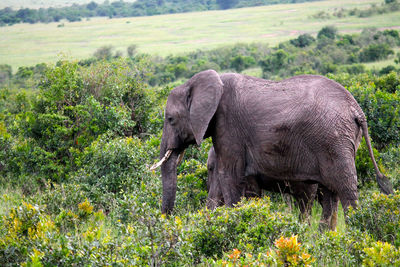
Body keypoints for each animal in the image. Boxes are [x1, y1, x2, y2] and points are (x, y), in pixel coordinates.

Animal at [152, 69, 392, 228]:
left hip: (334, 140)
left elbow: (229, 176)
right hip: (338, 141)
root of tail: (357, 110)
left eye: (170, 119)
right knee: (329, 194)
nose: (167, 219)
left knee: (344, 189)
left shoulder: (228, 128)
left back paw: (355, 232)